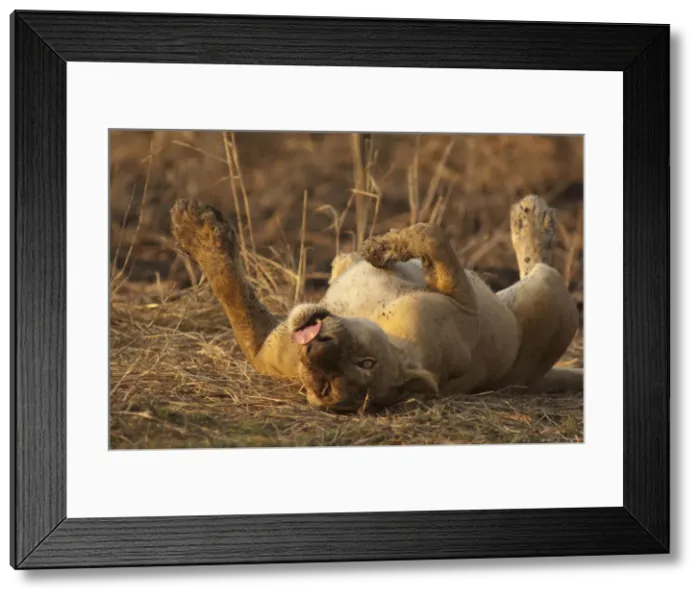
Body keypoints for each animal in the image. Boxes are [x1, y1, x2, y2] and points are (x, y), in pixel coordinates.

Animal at [170, 194, 582, 413]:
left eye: (366, 363)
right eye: (323, 386)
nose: (316, 349)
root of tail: (531, 380)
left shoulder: (466, 314)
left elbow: (431, 235)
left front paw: (381, 247)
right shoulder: (267, 349)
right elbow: (233, 295)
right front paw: (196, 230)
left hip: (546, 289)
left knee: (536, 263)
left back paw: (532, 218)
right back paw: (531, 217)